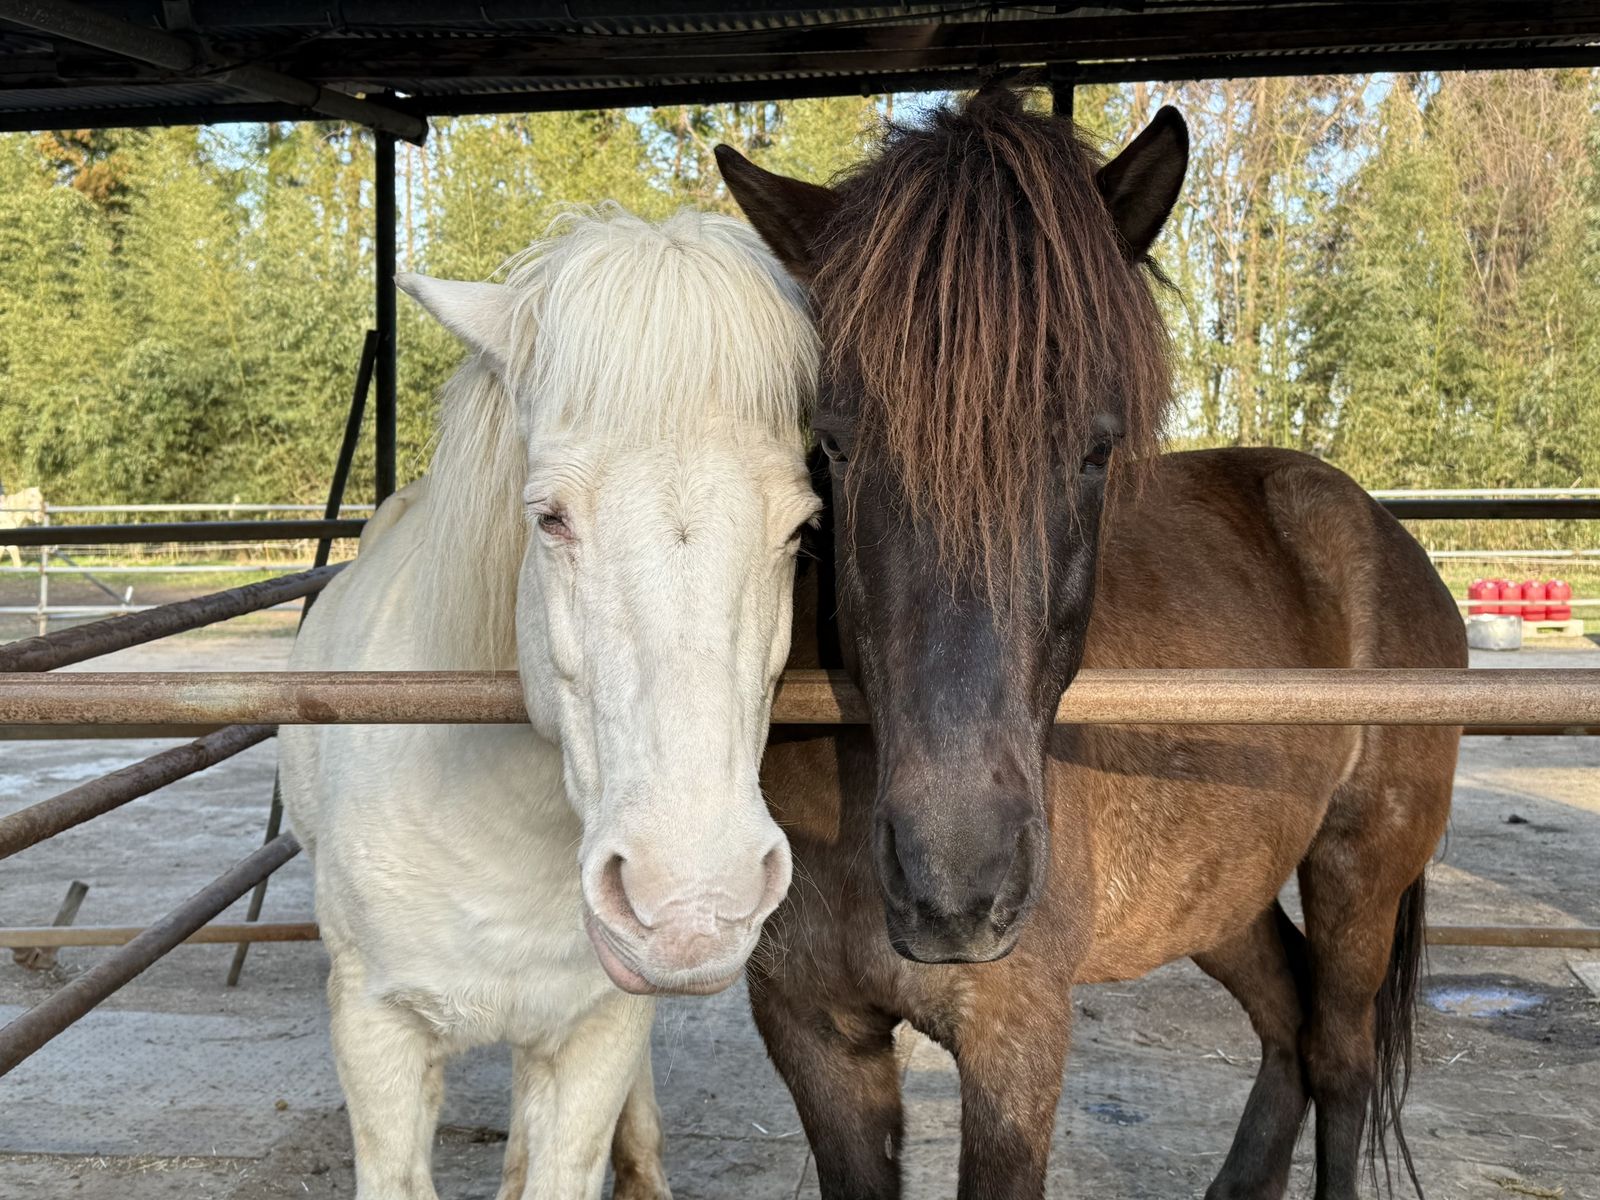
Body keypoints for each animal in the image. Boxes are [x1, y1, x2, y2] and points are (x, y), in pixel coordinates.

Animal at [720, 89, 1466, 1200]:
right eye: (836, 444)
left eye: (1095, 451)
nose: (956, 886)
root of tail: (1382, 532)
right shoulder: (815, 1036)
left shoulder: (1015, 1047)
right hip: (1222, 894)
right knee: (1286, 1020)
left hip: (1358, 876)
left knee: (1340, 1058)